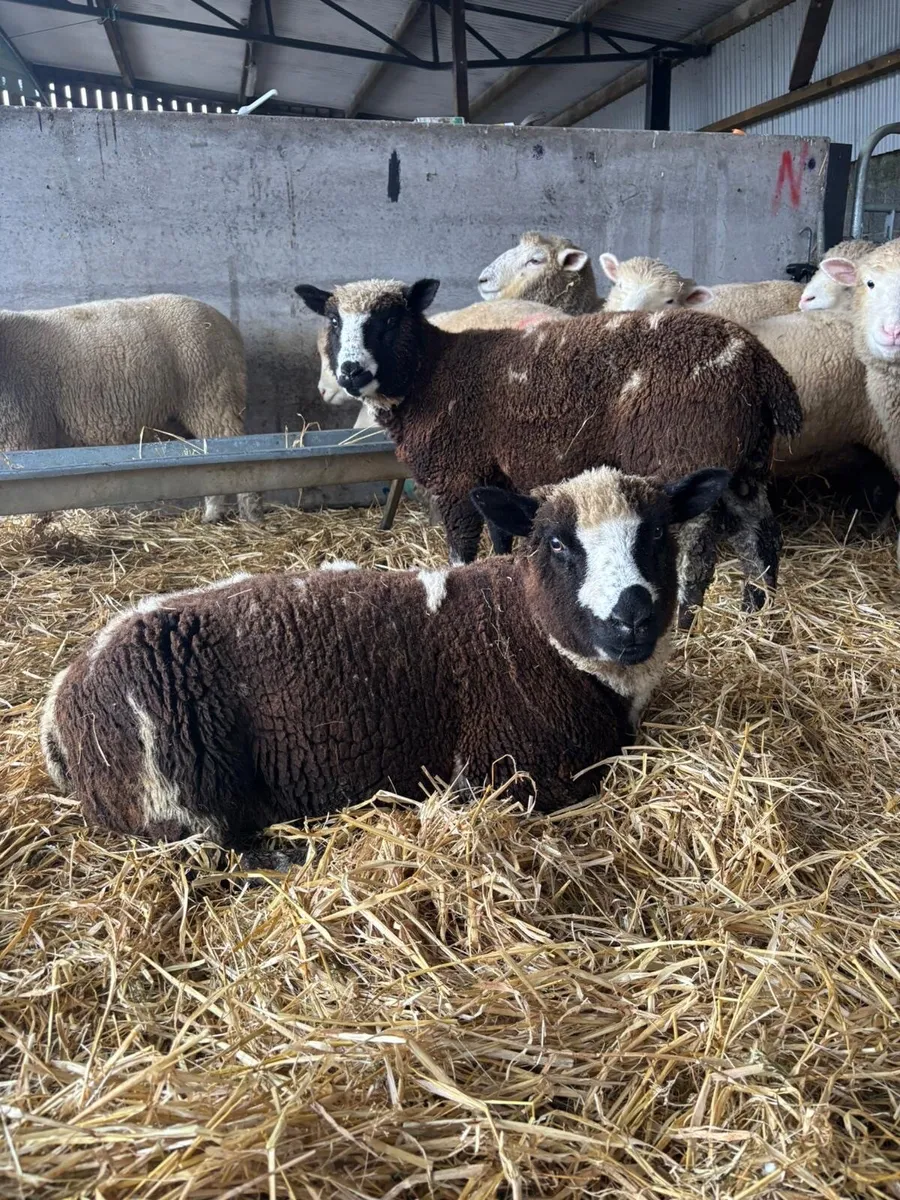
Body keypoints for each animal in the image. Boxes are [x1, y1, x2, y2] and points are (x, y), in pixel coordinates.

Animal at [40, 464, 731, 866]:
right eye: (558, 544)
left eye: (657, 535)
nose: (632, 615)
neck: (526, 628)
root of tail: (62, 700)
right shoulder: (517, 769)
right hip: (172, 794)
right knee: (217, 849)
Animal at [296, 277, 802, 621]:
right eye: (334, 321)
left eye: (388, 320)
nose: (351, 372)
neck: (432, 373)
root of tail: (761, 363)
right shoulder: (490, 475)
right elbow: (500, 538)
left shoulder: (457, 473)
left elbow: (461, 548)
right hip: (747, 459)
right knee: (760, 536)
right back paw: (758, 613)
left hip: (689, 450)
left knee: (698, 552)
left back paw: (686, 621)